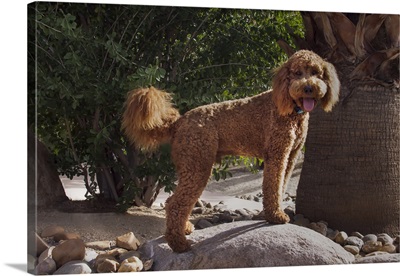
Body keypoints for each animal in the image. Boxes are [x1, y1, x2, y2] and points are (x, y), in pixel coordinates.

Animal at [121, 49, 338, 252]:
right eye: (297, 73)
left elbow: (281, 187)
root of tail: (179, 122)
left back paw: (185, 228)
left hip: (190, 166)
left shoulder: (290, 156)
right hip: (198, 165)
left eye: (316, 73)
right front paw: (275, 216)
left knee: (172, 202)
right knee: (176, 203)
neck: (291, 111)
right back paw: (179, 244)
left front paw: (274, 213)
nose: (308, 88)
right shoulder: (277, 154)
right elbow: (273, 187)